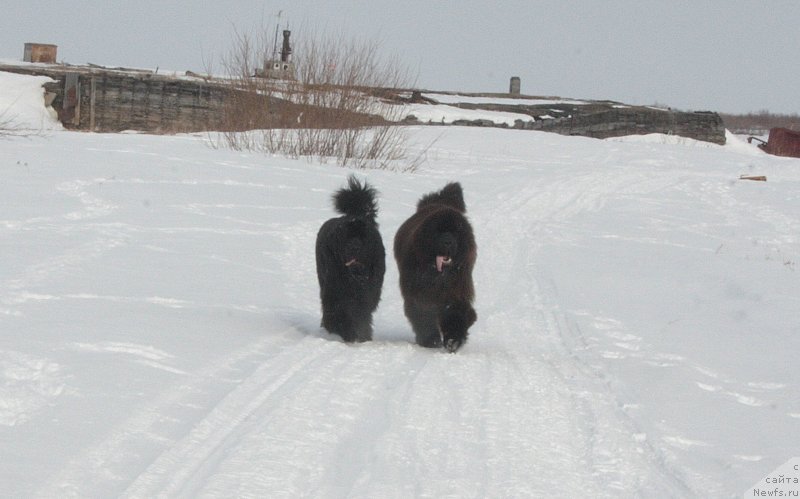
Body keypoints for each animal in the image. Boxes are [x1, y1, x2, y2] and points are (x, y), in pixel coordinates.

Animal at [314, 176, 386, 344]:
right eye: (346, 236)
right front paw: (343, 331)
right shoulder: (334, 290)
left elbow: (362, 314)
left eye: (363, 237)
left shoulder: (369, 292)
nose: (354, 247)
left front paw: (361, 335)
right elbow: (339, 311)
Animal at [392, 183, 476, 352]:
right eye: (439, 232)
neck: (439, 275)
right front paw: (431, 340)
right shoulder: (419, 294)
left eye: (455, 232)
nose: (448, 242)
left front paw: (453, 340)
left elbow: (456, 312)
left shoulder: (456, 291)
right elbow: (423, 315)